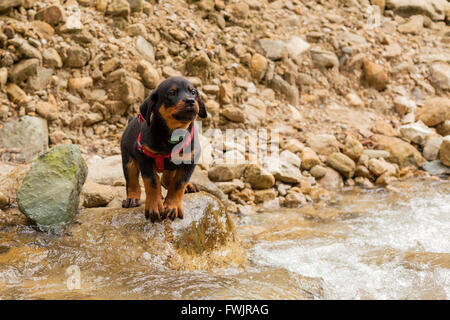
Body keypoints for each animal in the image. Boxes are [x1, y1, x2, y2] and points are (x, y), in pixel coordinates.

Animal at [119, 77, 207, 222]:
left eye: (193, 92)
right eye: (171, 93)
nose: (190, 100)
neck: (172, 135)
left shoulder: (190, 159)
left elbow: (179, 183)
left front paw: (172, 206)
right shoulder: (143, 156)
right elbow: (152, 181)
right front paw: (154, 206)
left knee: (167, 179)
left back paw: (187, 186)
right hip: (128, 160)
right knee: (132, 181)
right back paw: (132, 199)